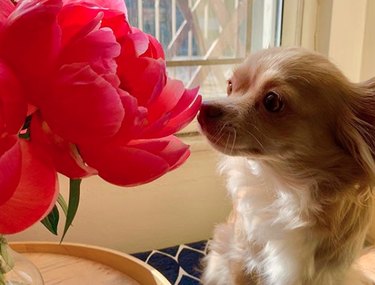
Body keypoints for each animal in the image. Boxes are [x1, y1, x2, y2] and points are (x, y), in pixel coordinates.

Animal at [198, 47, 375, 284]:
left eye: (272, 101)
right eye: (230, 86)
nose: (202, 107)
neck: (285, 187)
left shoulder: (322, 273)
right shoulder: (240, 258)